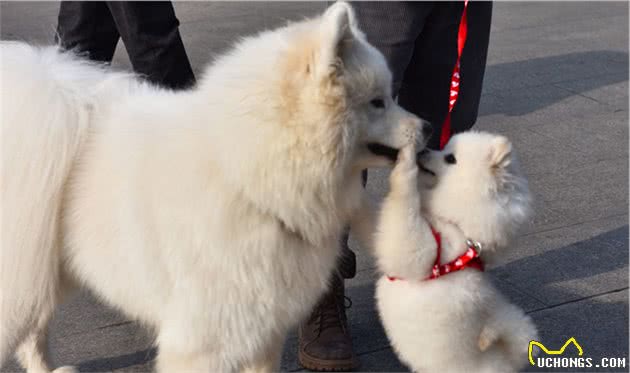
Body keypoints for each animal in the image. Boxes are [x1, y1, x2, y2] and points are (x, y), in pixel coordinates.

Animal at [0, 2, 430, 372]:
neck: (245, 178)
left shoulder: (262, 329)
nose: (426, 127)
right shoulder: (202, 340)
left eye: (390, 96)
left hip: (41, 268)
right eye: (377, 102)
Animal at [372, 132, 540, 370]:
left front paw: (405, 161)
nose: (424, 151)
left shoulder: (418, 249)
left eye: (450, 158)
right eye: (444, 148)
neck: (455, 223)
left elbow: (404, 201)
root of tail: (506, 362)